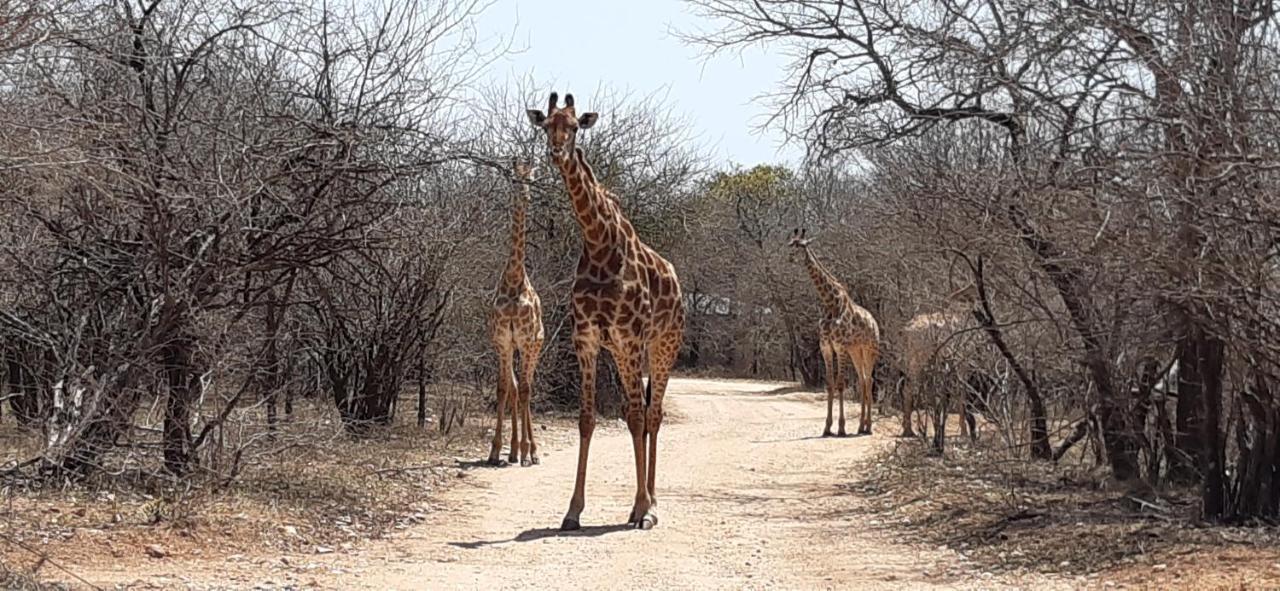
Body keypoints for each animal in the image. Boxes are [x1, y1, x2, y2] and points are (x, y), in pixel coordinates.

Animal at [524, 91, 686, 532]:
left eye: (574, 126)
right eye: (547, 126)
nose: (557, 152)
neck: (598, 244)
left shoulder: (629, 338)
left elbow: (634, 417)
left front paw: (644, 508)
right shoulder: (587, 338)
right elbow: (587, 418)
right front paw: (572, 511)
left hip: (663, 345)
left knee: (652, 413)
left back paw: (650, 506)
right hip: (623, 350)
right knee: (645, 410)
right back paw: (639, 505)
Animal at [783, 228, 885, 437]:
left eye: (800, 245)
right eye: (790, 243)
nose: (788, 257)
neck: (830, 303)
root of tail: (874, 322)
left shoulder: (840, 347)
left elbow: (840, 384)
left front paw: (841, 427)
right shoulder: (826, 347)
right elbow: (830, 384)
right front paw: (827, 427)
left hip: (870, 349)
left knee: (869, 380)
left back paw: (869, 427)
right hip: (856, 351)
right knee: (863, 380)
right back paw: (861, 426)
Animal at [901, 283, 977, 445]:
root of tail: (907, 330)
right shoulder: (962, 362)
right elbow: (961, 393)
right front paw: (964, 432)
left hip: (912, 360)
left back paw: (908, 429)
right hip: (919, 360)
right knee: (908, 388)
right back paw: (909, 430)